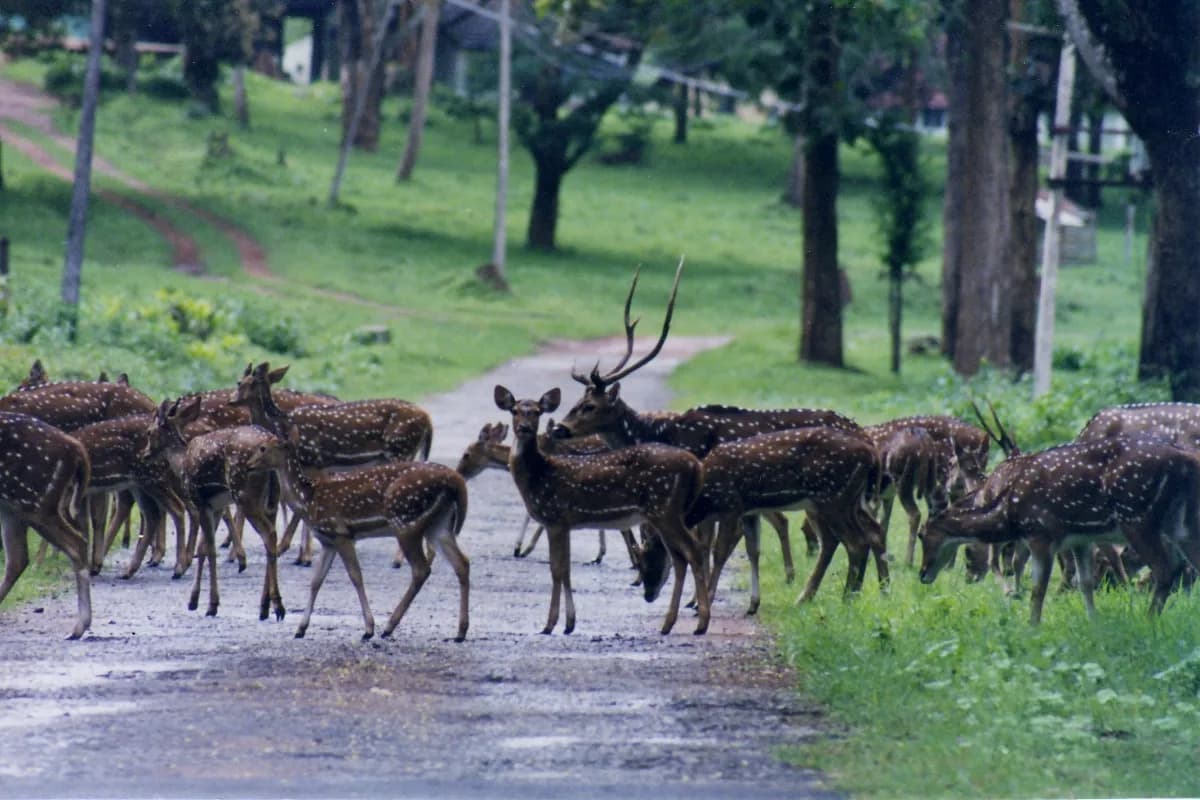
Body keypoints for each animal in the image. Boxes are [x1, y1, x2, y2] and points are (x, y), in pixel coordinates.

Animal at [0, 411, 93, 639]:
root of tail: (75, 448)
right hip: (14, 506)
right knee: (17, 559)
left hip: (34, 500)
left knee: (77, 543)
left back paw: (78, 627)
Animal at [494, 385, 710, 636]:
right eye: (515, 410)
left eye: (537, 411)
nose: (524, 428)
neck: (539, 475)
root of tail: (696, 466)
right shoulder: (565, 523)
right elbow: (565, 569)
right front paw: (569, 624)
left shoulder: (554, 517)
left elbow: (557, 569)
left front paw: (550, 624)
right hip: (666, 513)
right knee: (679, 557)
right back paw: (669, 624)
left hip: (664, 508)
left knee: (693, 550)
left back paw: (701, 623)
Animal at [918, 434, 1200, 624]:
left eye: (923, 535)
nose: (922, 574)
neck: (1009, 514)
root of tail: (1188, 461)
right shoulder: (1081, 539)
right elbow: (1084, 583)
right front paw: (1094, 622)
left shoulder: (1042, 534)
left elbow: (1038, 590)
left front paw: (1031, 627)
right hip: (1182, 524)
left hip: (1137, 516)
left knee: (1165, 569)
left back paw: (1149, 619)